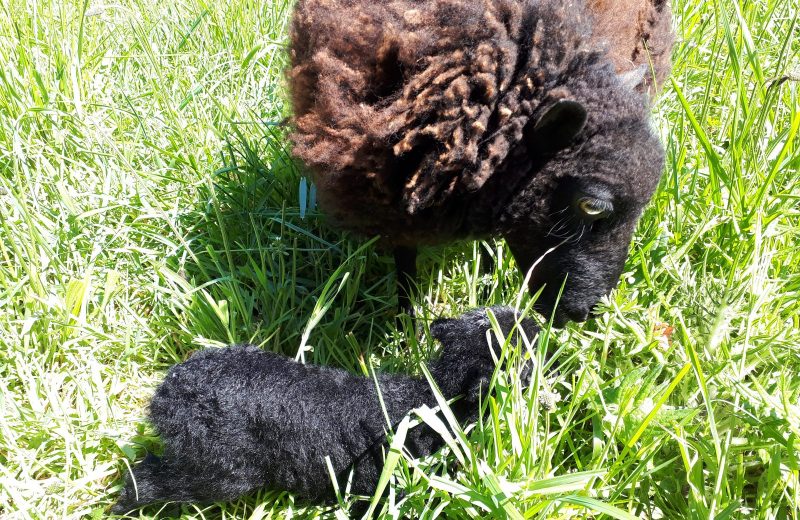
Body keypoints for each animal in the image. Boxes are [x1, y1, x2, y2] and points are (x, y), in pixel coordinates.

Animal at [112, 306, 536, 512]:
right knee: (147, 478)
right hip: (219, 468)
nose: (537, 317)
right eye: (524, 346)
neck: (435, 399)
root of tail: (170, 389)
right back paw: (122, 505)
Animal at [288, 0, 676, 324]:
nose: (585, 314)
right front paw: (407, 327)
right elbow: (405, 263)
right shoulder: (390, 189)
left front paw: (487, 288)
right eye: (591, 206)